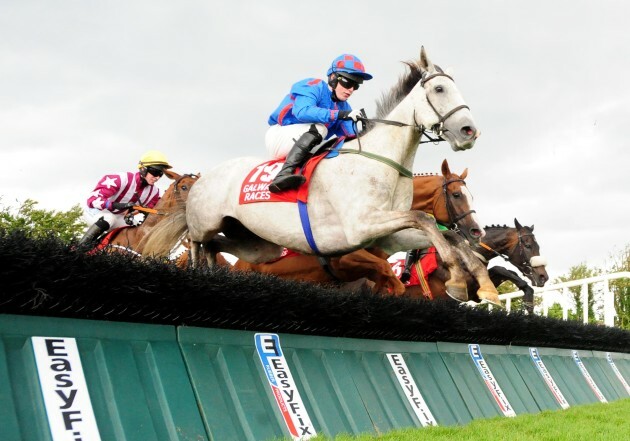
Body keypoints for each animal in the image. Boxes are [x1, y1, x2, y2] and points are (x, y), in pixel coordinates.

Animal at [232, 159, 484, 296]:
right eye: (457, 195)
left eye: (472, 196)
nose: (476, 231)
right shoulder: (345, 261)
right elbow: (386, 273)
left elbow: (384, 276)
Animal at [408, 217, 552, 308]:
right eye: (528, 246)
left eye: (538, 246)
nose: (543, 277)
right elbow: (499, 268)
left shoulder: (474, 293)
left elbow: (498, 271)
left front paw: (528, 295)